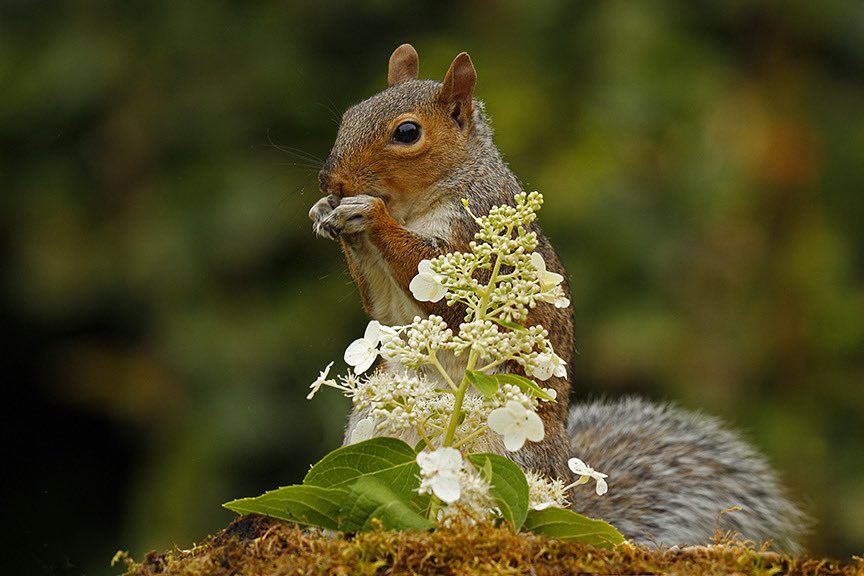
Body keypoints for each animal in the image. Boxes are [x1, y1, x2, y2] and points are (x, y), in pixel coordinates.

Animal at [308, 44, 807, 553]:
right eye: (349, 114)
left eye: (407, 132)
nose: (332, 181)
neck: (423, 203)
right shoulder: (389, 302)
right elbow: (381, 305)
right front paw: (327, 212)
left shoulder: (477, 247)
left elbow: (444, 296)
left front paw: (369, 213)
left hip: (509, 458)